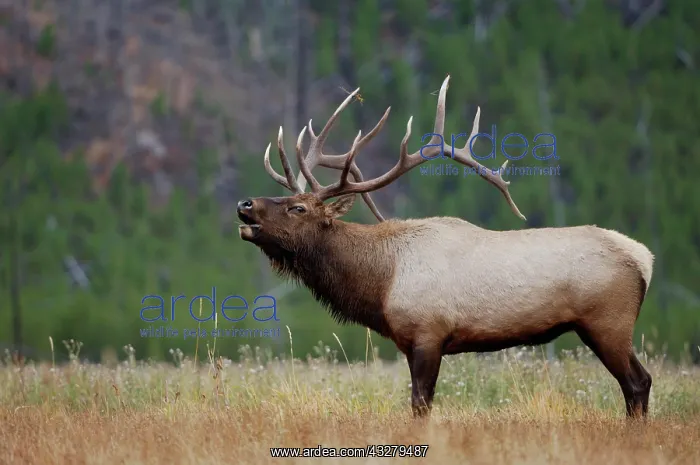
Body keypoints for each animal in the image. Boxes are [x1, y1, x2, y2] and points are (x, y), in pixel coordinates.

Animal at [237, 75, 654, 419]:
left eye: (299, 208)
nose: (245, 204)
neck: (381, 283)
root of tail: (645, 258)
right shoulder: (409, 343)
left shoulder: (429, 333)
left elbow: (421, 404)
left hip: (608, 322)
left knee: (638, 382)